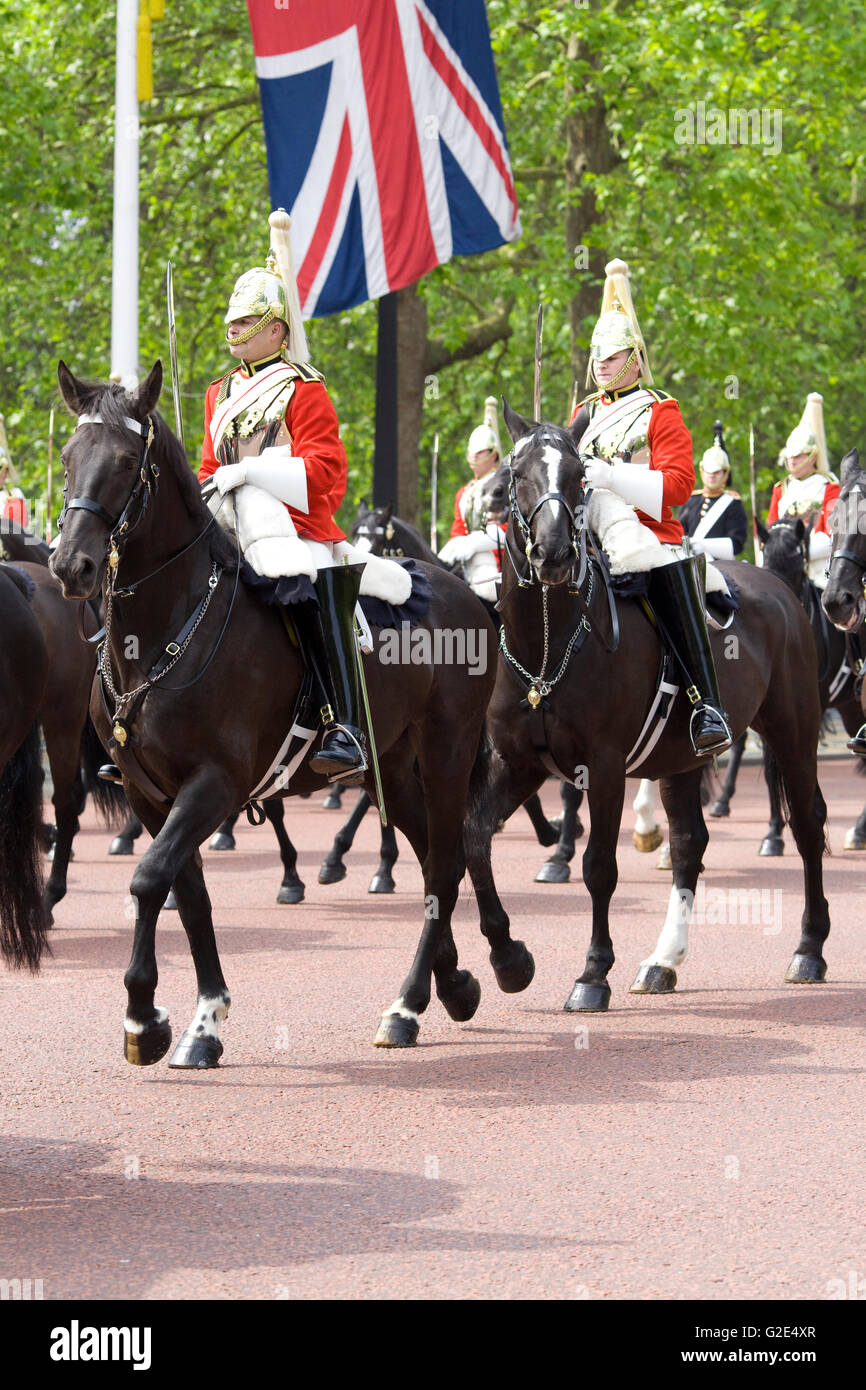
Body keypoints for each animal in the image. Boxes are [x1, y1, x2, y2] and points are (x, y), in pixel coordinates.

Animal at [47, 361, 505, 1061]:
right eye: (69, 455)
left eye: (127, 461)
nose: (72, 565)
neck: (165, 631)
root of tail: (468, 596)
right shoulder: (150, 794)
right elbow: (189, 893)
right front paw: (203, 1021)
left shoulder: (213, 782)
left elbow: (149, 880)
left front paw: (144, 1018)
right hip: (395, 769)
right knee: (435, 858)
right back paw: (457, 982)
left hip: (446, 752)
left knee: (451, 860)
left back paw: (408, 1004)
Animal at [464, 403, 828, 1011]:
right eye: (518, 472)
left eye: (579, 476)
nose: (554, 554)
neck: (548, 642)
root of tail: (779, 587)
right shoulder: (520, 764)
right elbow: (474, 839)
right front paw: (510, 961)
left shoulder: (605, 766)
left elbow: (598, 867)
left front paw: (592, 974)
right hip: (682, 758)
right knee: (689, 844)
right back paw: (663, 960)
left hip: (794, 733)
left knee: (807, 825)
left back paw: (809, 949)